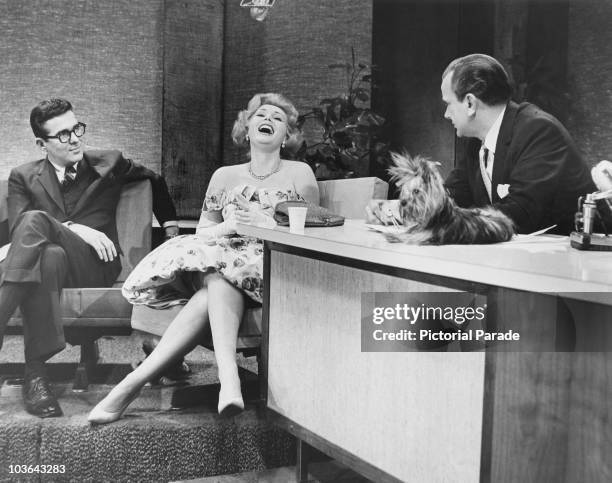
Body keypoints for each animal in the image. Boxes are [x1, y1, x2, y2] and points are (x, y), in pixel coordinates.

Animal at [384, 152, 512, 244]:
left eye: (416, 191)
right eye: (404, 191)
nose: (403, 202)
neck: (438, 216)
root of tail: (505, 221)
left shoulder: (427, 236)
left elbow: (411, 238)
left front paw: (392, 236)